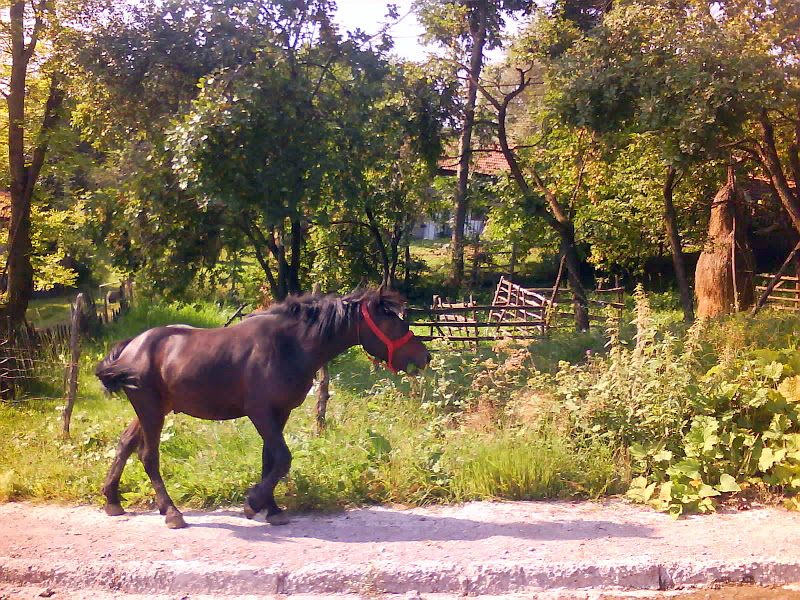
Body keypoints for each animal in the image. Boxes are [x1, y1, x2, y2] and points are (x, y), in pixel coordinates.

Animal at [96, 288, 432, 528]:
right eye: (393, 321)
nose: (424, 357)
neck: (289, 345)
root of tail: (131, 345)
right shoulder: (260, 413)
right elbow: (283, 458)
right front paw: (253, 502)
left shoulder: (279, 413)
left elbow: (270, 460)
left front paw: (271, 508)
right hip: (150, 409)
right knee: (148, 456)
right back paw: (171, 512)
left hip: (153, 409)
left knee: (125, 444)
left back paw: (112, 500)